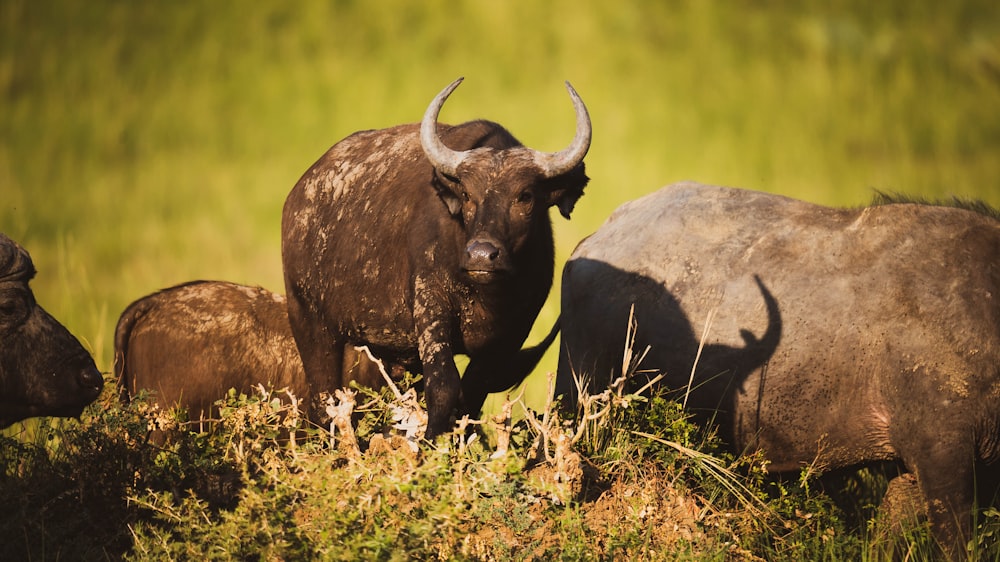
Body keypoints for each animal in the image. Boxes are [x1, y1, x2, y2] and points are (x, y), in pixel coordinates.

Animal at [278, 77, 588, 438]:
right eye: (467, 195)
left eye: (525, 196)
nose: (481, 255)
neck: (487, 296)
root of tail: (297, 197)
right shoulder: (431, 308)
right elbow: (443, 386)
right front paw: (432, 440)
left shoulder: (512, 334)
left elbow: (472, 393)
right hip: (310, 322)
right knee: (322, 398)